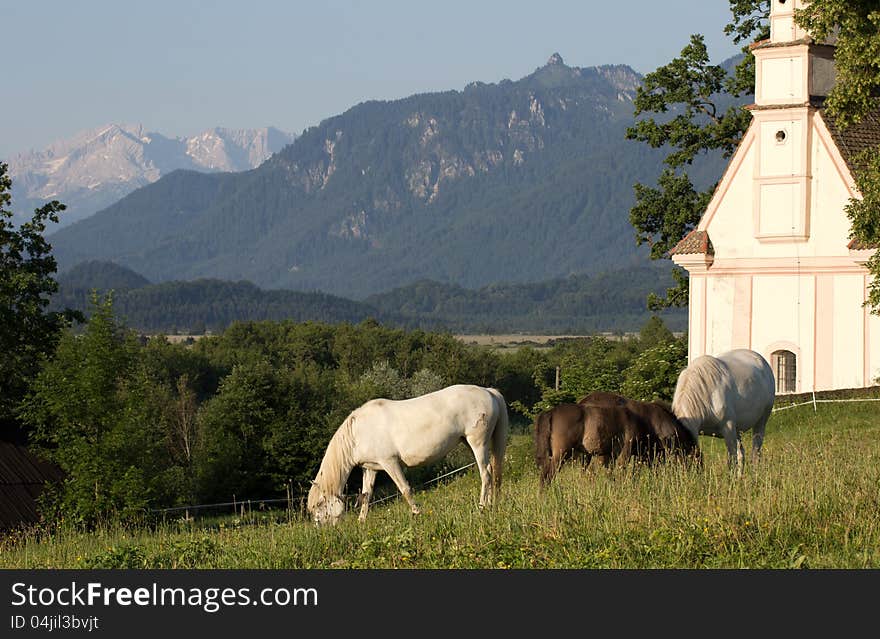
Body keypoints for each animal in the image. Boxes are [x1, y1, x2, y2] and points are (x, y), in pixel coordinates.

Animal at [306, 384, 508, 524]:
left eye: (318, 508)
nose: (323, 532)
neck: (358, 432)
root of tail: (488, 392)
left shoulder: (390, 462)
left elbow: (405, 489)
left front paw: (417, 513)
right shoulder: (371, 468)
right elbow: (366, 495)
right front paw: (361, 521)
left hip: (478, 443)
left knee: (486, 474)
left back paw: (482, 507)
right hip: (470, 442)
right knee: (491, 471)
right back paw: (492, 504)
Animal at [532, 392, 696, 488]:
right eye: (693, 456)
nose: (695, 475)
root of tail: (551, 412)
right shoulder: (628, 453)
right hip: (562, 454)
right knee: (547, 476)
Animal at [672, 348, 772, 478]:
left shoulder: (728, 427)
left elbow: (732, 460)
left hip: (761, 422)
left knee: (755, 452)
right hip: (737, 430)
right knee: (742, 453)